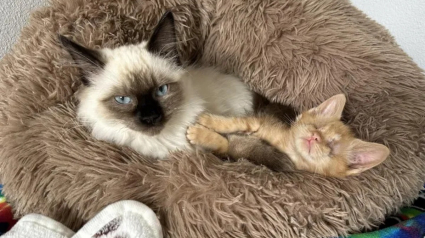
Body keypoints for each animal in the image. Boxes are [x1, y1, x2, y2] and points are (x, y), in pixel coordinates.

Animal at [187, 94, 390, 178]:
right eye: (317, 127)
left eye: (332, 148)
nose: (315, 137)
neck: (283, 144)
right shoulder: (260, 121)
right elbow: (239, 123)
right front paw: (210, 120)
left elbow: (225, 144)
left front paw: (200, 132)